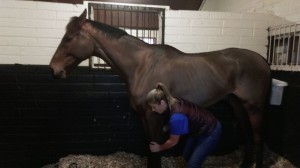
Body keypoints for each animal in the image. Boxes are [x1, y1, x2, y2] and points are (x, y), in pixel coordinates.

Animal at [49, 9, 272, 168]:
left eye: (69, 38)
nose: (53, 69)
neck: (141, 66)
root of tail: (262, 60)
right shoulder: (144, 117)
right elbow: (150, 148)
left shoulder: (153, 116)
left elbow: (155, 151)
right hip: (237, 104)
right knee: (246, 133)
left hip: (254, 107)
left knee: (259, 136)